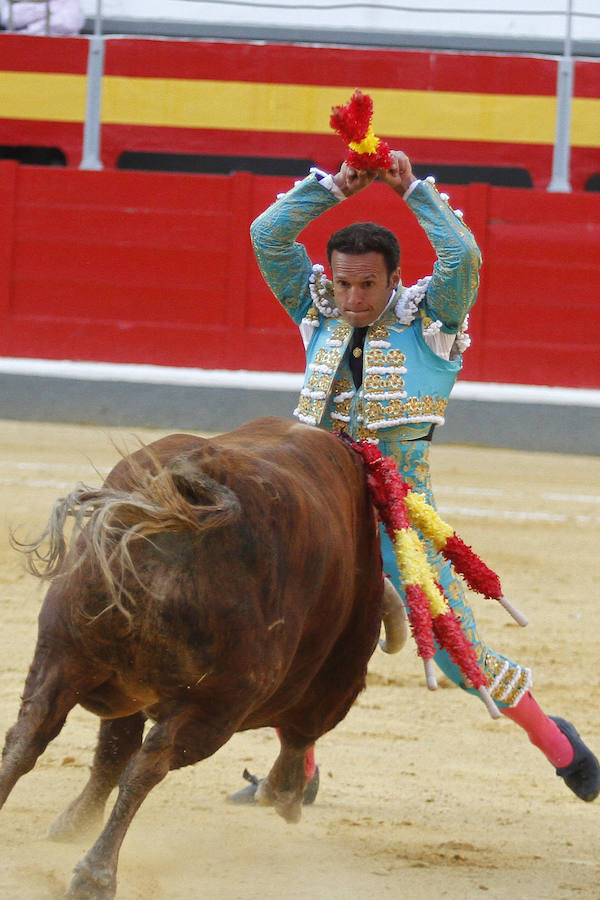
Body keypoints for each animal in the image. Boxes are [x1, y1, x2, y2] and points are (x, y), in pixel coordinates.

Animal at [2, 418, 398, 900]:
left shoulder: (127, 685)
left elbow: (111, 749)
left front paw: (73, 823)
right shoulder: (332, 681)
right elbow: (299, 735)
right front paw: (282, 793)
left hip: (62, 650)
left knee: (30, 732)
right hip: (215, 705)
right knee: (148, 766)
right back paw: (95, 875)